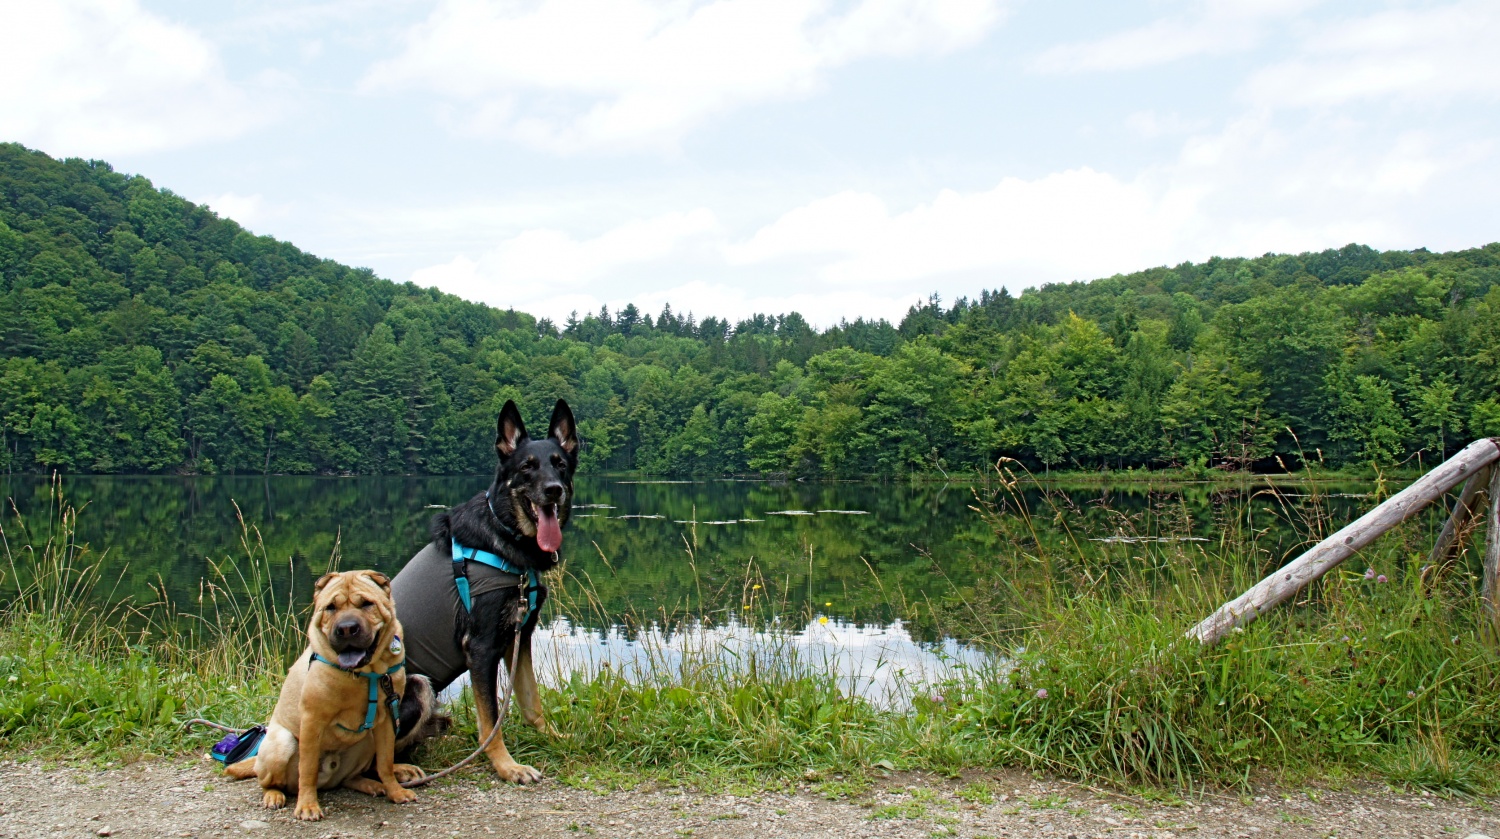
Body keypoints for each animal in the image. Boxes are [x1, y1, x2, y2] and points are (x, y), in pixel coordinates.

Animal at [225, 570, 423, 822]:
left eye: (367, 604)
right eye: (330, 607)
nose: (347, 628)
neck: (363, 674)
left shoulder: (387, 716)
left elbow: (385, 762)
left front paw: (395, 791)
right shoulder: (312, 720)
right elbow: (307, 769)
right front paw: (308, 806)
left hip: (366, 740)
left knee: (350, 777)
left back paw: (371, 785)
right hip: (281, 744)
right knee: (270, 782)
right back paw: (273, 795)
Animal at [390, 399, 576, 780]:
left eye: (560, 464)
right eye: (526, 467)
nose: (554, 489)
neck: (504, 535)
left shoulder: (518, 639)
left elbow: (530, 700)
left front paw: (552, 735)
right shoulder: (482, 647)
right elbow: (491, 721)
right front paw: (506, 766)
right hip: (415, 684)